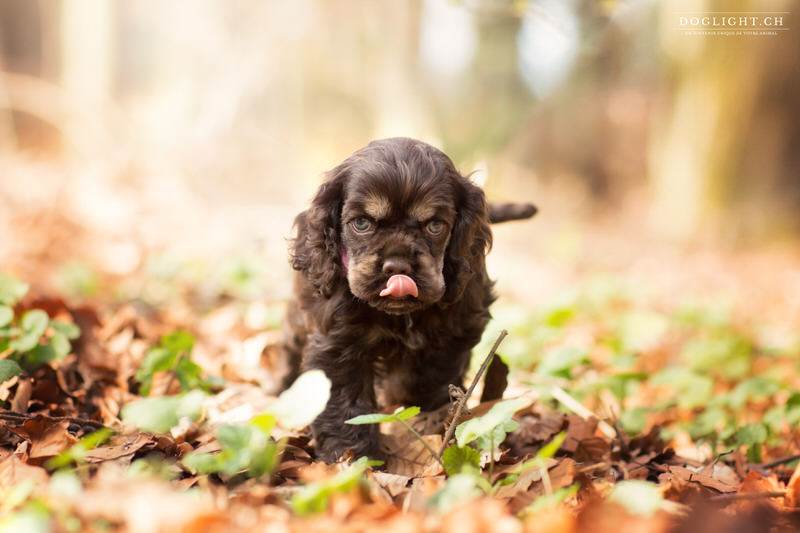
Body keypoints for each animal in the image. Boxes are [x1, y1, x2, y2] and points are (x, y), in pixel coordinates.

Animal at [284, 137, 536, 462]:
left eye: (434, 226)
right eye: (361, 223)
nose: (398, 267)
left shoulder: (453, 332)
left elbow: (427, 382)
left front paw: (427, 423)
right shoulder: (338, 344)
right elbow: (346, 404)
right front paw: (350, 457)